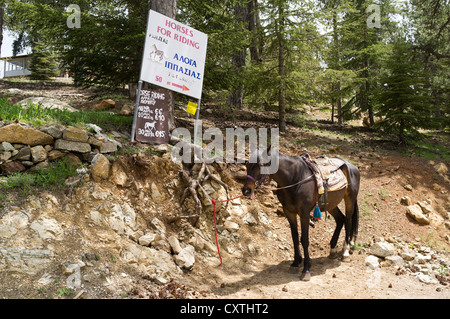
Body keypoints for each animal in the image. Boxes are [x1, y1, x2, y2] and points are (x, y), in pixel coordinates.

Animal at [243, 149, 358, 282]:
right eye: (247, 165)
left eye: (260, 165)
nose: (246, 190)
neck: (295, 178)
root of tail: (352, 166)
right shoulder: (289, 212)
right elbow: (294, 237)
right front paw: (295, 263)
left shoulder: (304, 213)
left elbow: (304, 239)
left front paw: (306, 269)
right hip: (331, 204)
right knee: (340, 219)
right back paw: (333, 250)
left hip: (350, 199)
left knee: (348, 221)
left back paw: (345, 253)